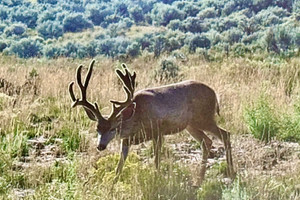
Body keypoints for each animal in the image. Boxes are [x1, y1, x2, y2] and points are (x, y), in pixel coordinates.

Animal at [69, 59, 236, 184]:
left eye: (113, 128)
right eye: (97, 128)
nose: (100, 146)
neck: (137, 118)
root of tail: (214, 94)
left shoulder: (158, 131)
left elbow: (156, 160)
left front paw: (156, 179)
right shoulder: (126, 140)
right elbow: (119, 165)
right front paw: (113, 183)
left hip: (204, 118)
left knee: (225, 135)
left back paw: (231, 173)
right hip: (191, 125)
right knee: (206, 142)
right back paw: (199, 180)